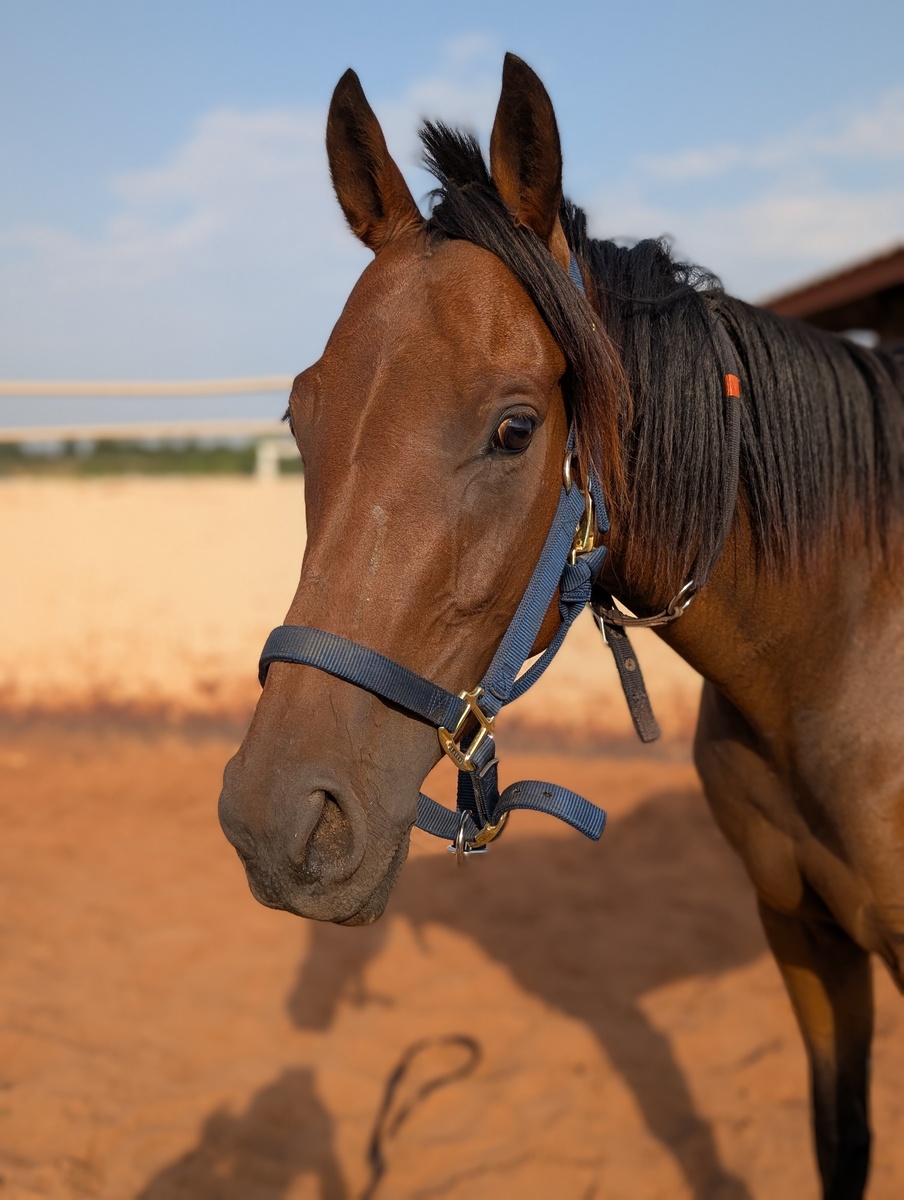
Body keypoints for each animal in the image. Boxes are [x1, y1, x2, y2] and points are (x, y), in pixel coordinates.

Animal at [218, 54, 904, 1199]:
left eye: (514, 429)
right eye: (300, 417)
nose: (278, 820)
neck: (843, 651)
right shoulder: (802, 929)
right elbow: (841, 1143)